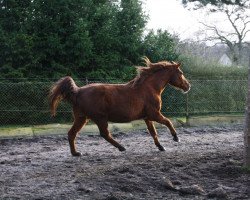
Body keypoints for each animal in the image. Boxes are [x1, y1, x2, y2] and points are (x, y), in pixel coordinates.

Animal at [48, 57, 190, 156]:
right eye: (181, 72)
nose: (188, 86)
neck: (150, 88)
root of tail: (77, 91)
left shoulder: (147, 117)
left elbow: (153, 132)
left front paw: (161, 147)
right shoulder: (154, 114)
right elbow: (168, 122)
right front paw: (176, 138)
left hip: (81, 118)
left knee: (72, 134)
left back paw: (76, 153)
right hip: (100, 118)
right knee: (104, 134)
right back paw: (122, 147)